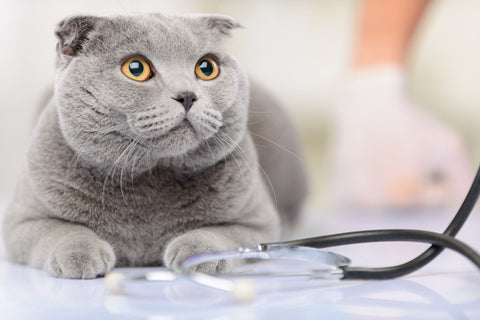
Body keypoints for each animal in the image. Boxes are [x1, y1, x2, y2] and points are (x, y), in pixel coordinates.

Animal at [1, 13, 306, 278]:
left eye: (207, 68)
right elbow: (60, 230)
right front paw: (79, 256)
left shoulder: (258, 221)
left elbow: (222, 233)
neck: (149, 180)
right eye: (136, 68)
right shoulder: (22, 219)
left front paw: (196, 254)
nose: (187, 96)